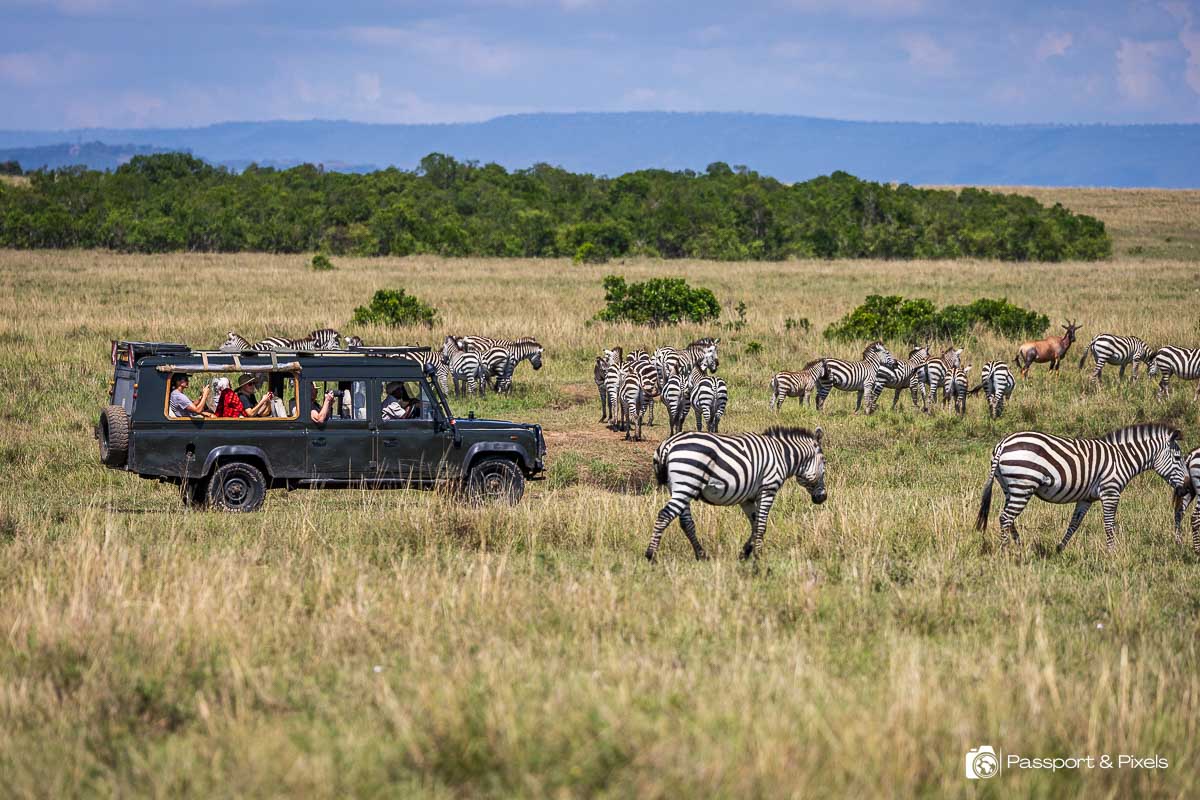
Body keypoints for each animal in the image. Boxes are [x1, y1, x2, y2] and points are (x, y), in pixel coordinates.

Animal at [646, 426, 827, 561]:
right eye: (824, 463)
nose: (823, 498)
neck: (783, 456)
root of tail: (668, 444)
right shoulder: (768, 488)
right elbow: (762, 525)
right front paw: (758, 556)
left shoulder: (747, 498)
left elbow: (755, 524)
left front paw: (745, 553)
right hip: (686, 484)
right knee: (664, 515)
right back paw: (651, 555)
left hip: (680, 488)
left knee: (686, 522)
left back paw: (701, 555)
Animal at [974, 424, 1186, 552]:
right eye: (1178, 458)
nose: (1186, 487)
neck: (1122, 458)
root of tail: (1003, 444)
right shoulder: (1111, 491)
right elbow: (1109, 524)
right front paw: (1112, 553)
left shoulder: (1086, 497)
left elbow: (1074, 523)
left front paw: (1060, 548)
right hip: (1023, 485)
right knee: (1005, 518)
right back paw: (1005, 551)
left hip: (1011, 487)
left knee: (1009, 519)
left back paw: (1019, 546)